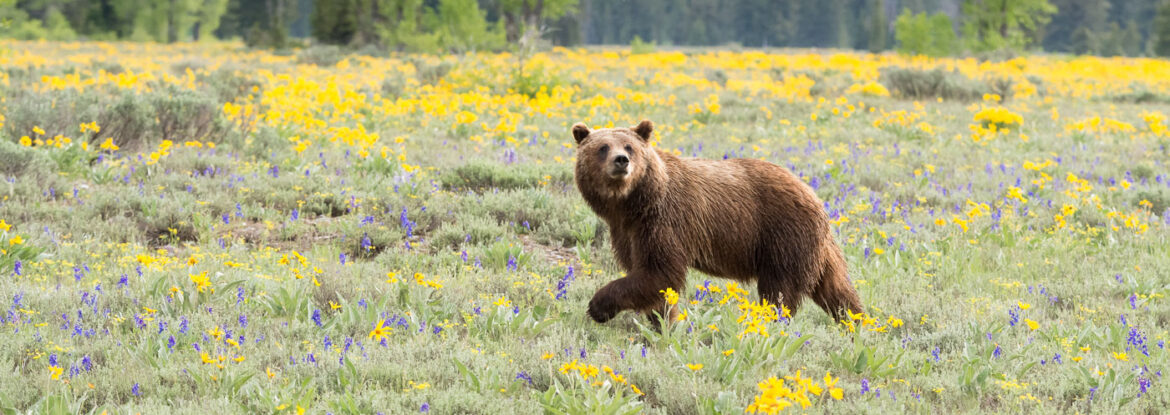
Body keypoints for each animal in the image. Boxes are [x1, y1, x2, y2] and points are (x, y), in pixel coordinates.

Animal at [571, 119, 863, 327]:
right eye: (602, 148)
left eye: (629, 147)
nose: (621, 161)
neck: (632, 203)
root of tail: (814, 195)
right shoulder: (627, 231)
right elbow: (647, 276)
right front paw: (663, 321)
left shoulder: (663, 222)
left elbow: (659, 273)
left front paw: (598, 306)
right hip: (813, 247)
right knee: (835, 286)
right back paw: (856, 321)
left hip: (783, 236)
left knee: (780, 291)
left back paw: (770, 321)